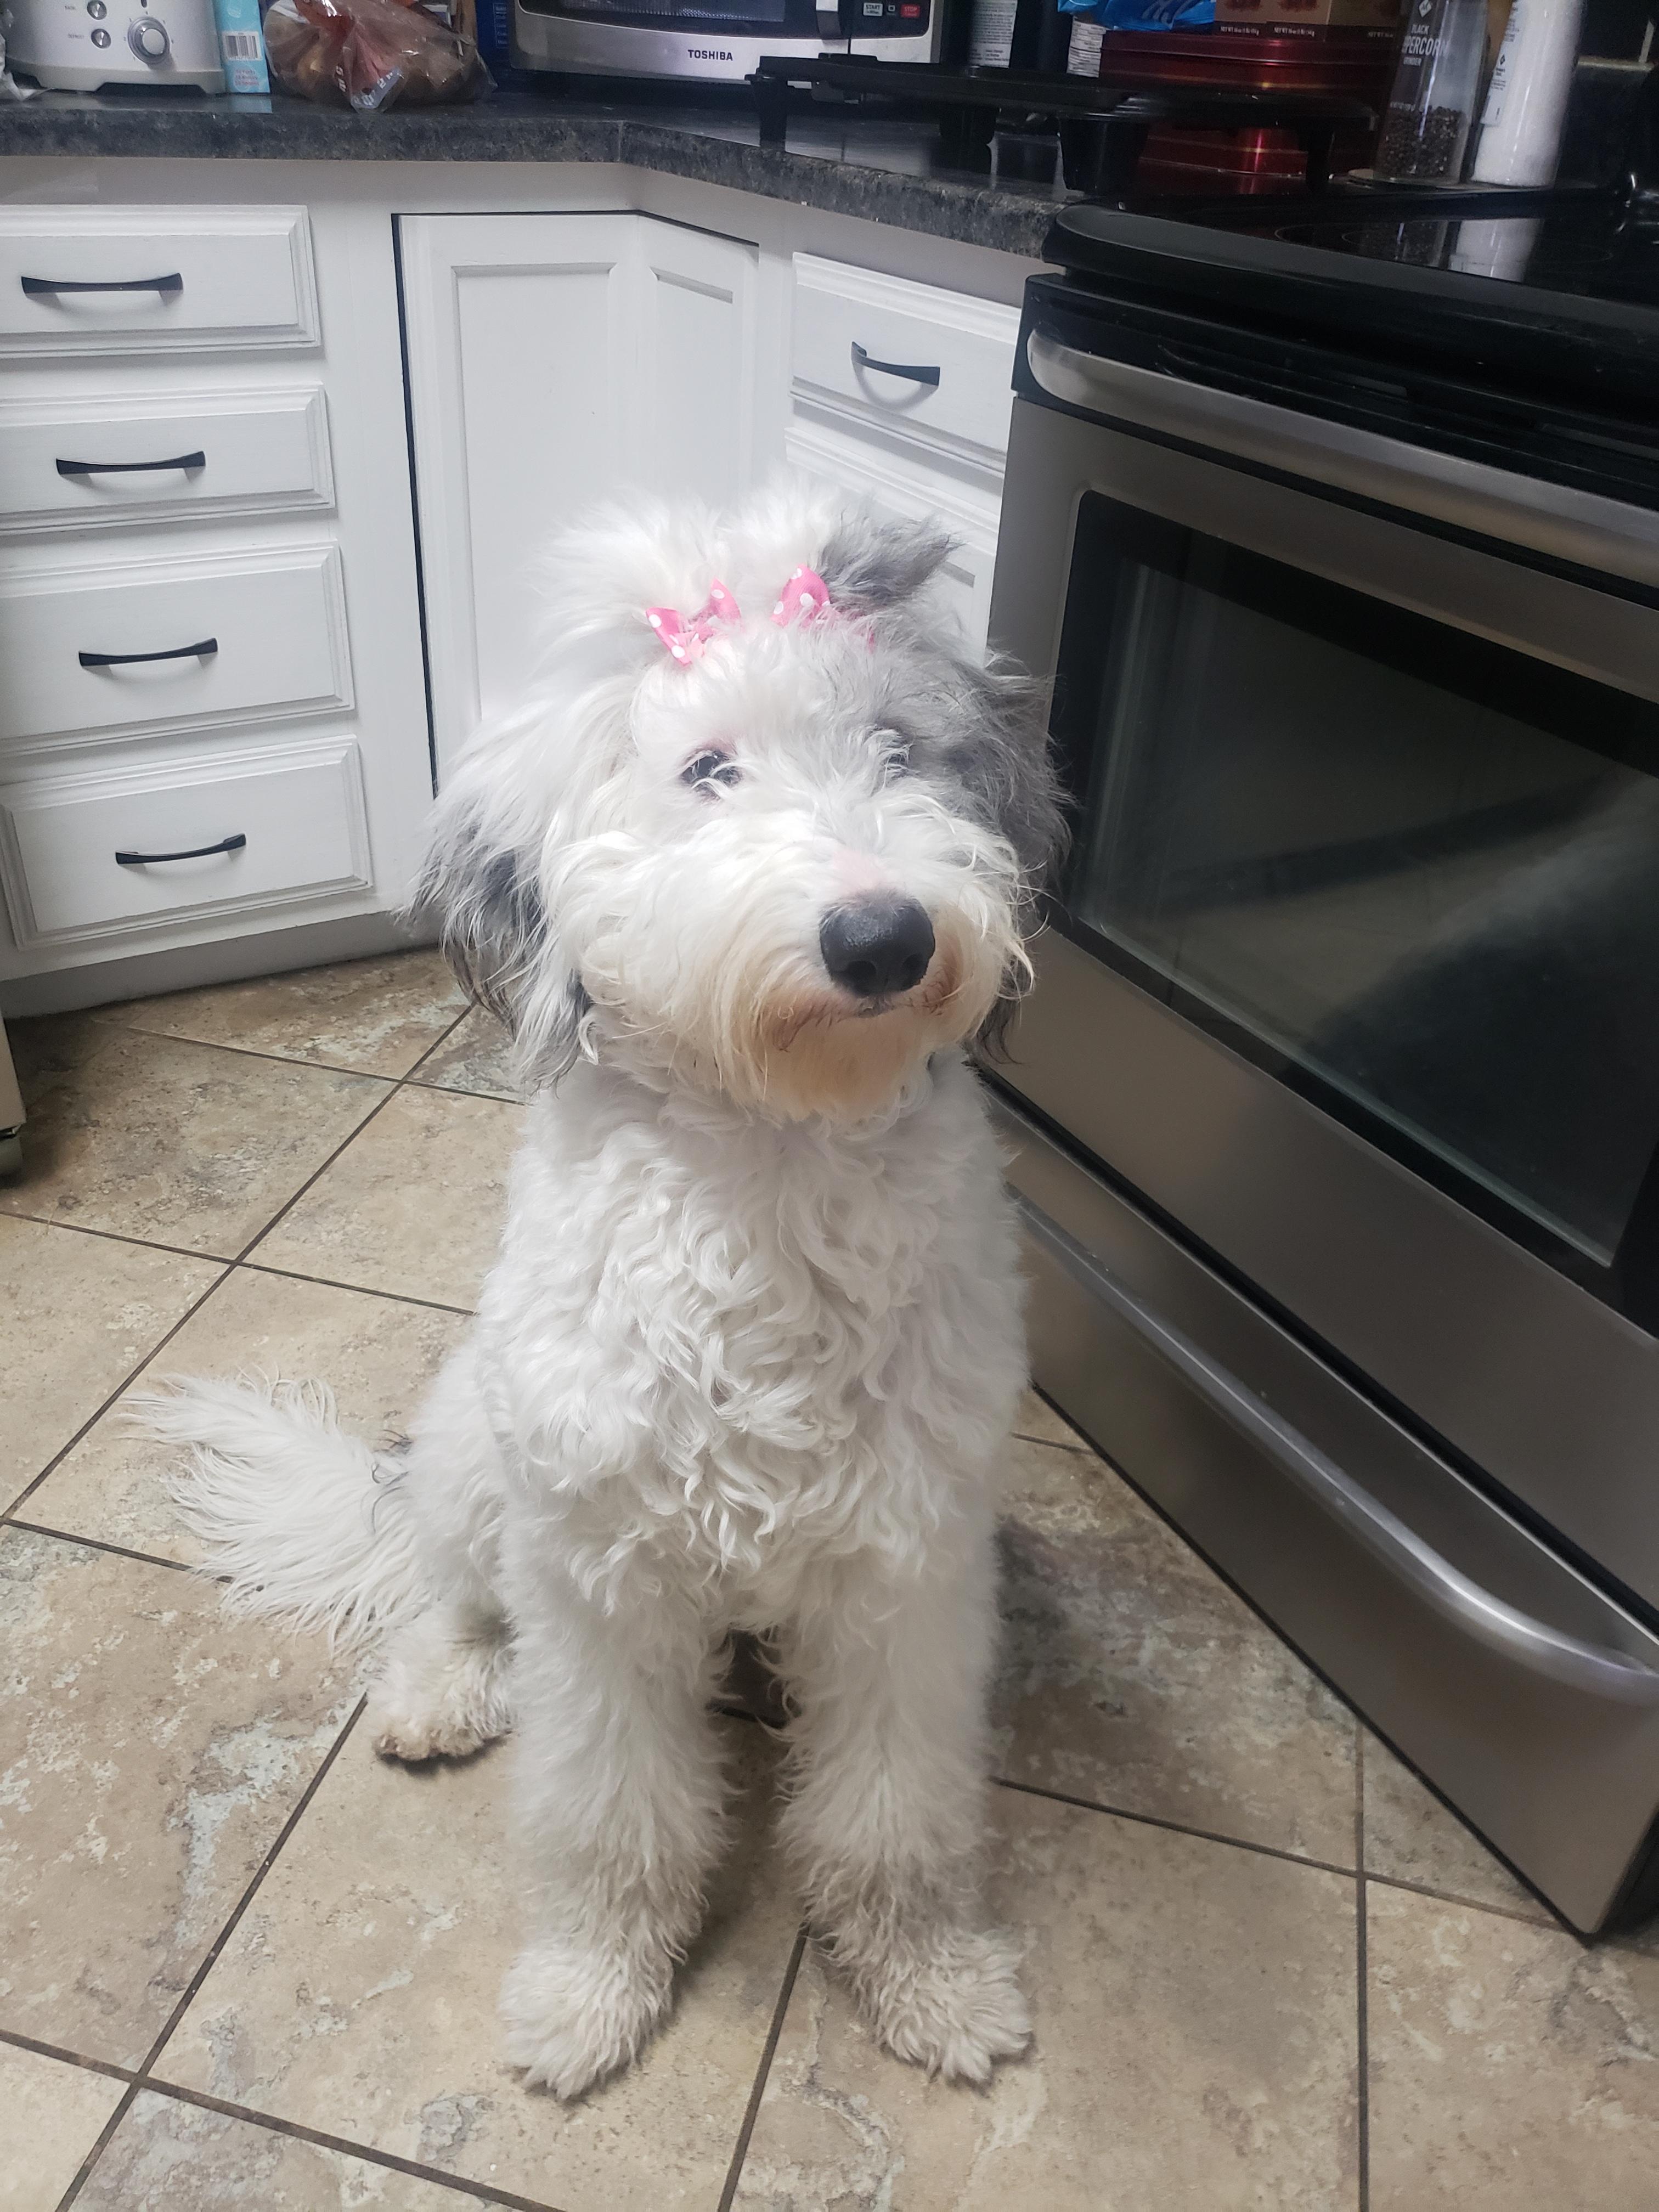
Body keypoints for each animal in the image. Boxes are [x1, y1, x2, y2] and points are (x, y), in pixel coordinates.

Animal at [139, 485, 1065, 2099]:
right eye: (708, 769)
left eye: (899, 748)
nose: (884, 937)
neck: (774, 1164)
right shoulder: (600, 1578)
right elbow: (611, 1818)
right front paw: (587, 1994)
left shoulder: (908, 1579)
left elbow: (893, 1817)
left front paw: (934, 1982)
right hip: (474, 1461)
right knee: (446, 1594)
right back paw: (439, 1695)